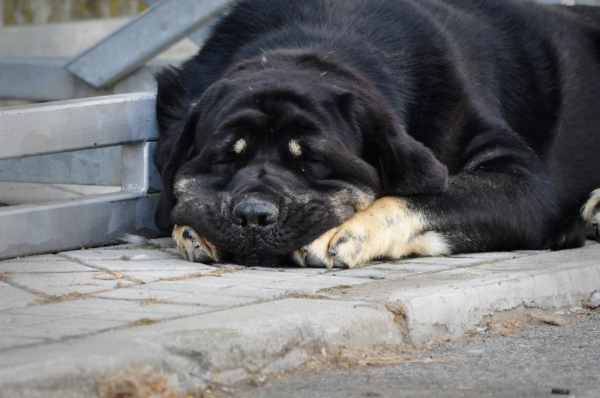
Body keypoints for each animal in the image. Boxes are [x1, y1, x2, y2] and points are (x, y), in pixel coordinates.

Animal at [152, 0, 600, 268]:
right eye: (226, 157)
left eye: (313, 162)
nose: (253, 215)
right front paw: (188, 229)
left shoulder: (524, 181)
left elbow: (437, 196)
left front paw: (346, 229)